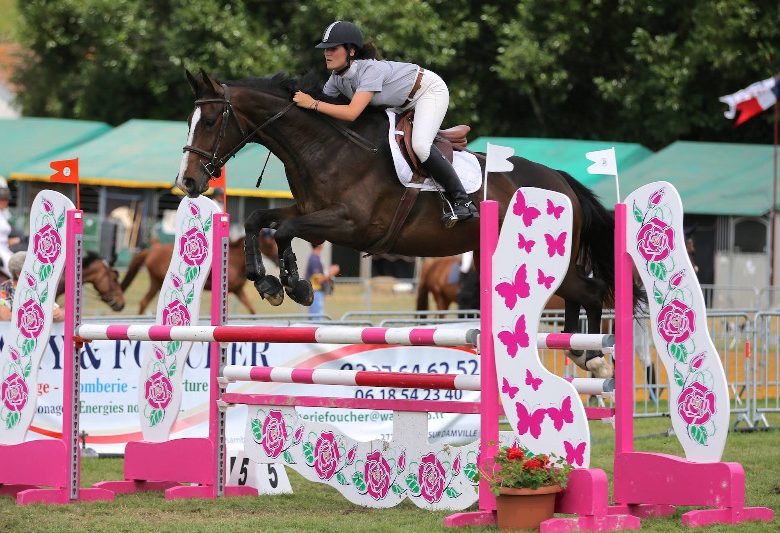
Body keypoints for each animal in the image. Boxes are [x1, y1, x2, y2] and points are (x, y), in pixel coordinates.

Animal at [174, 69, 636, 374]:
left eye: (210, 121)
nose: (188, 182)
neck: (325, 148)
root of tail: (560, 180)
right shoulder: (309, 212)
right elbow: (258, 220)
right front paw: (267, 281)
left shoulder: (351, 225)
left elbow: (284, 232)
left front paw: (295, 285)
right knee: (579, 293)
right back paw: (580, 351)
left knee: (592, 290)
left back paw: (594, 356)